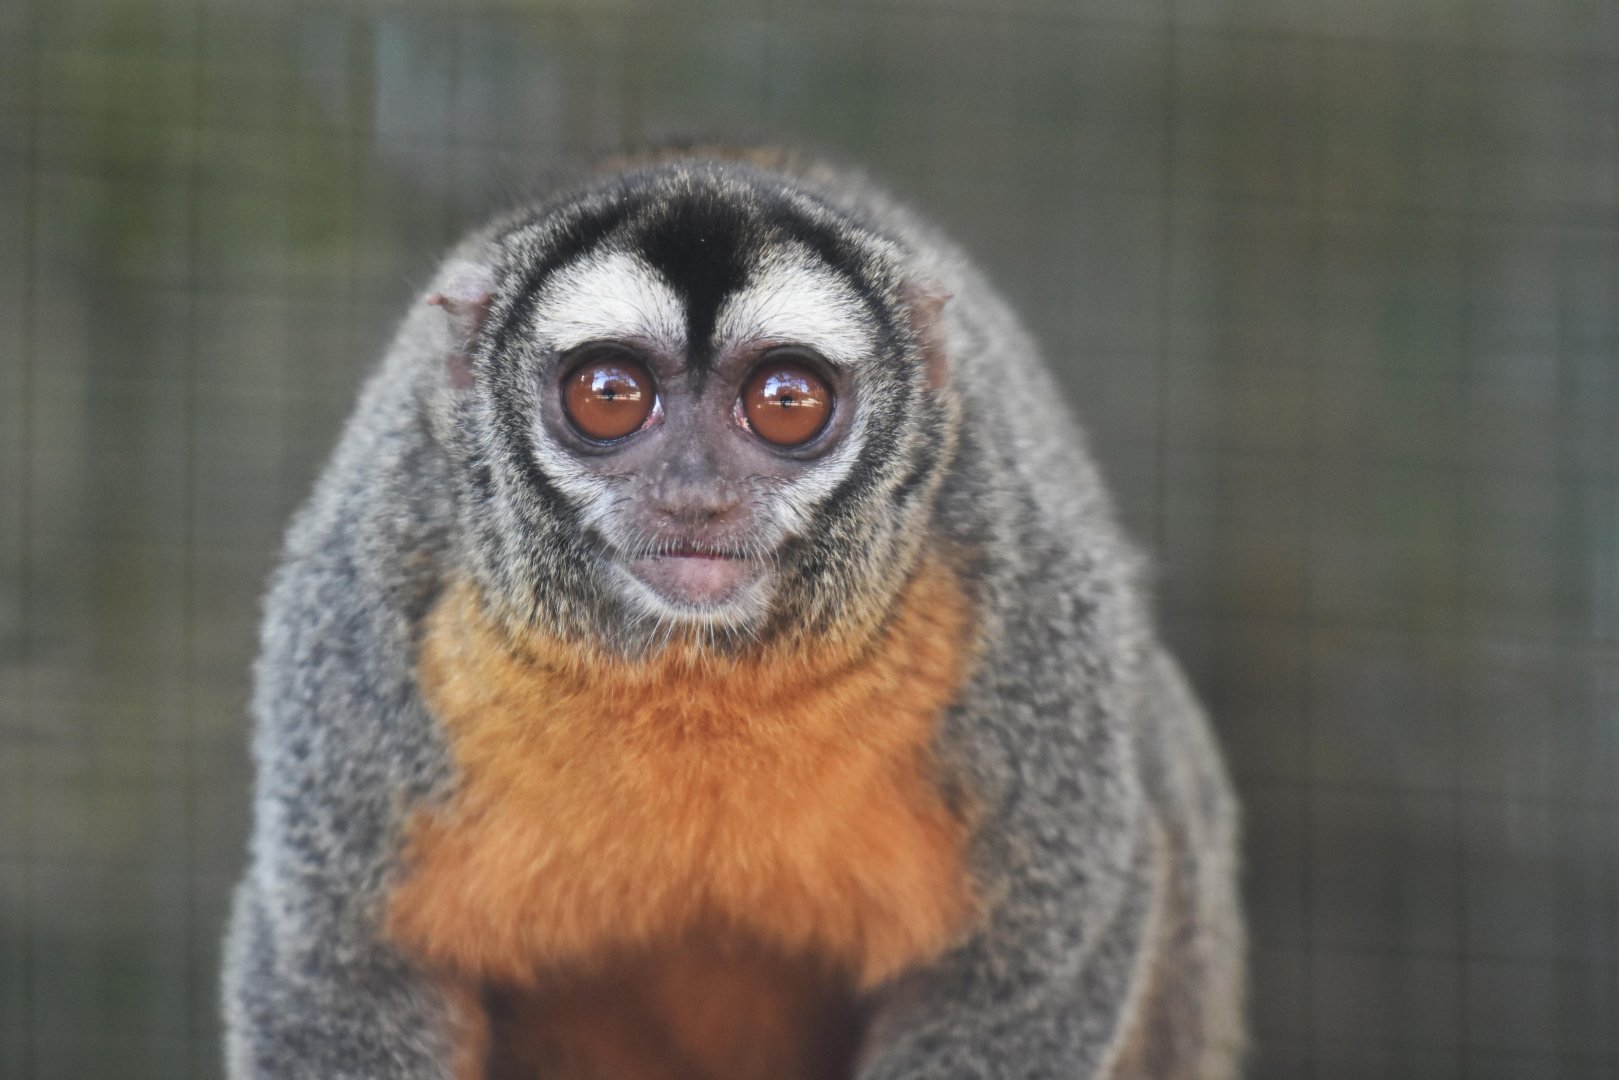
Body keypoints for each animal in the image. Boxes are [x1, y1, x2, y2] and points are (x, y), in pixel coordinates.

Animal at [222, 148, 1244, 1080]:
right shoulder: (376, 594)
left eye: (786, 402)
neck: (696, 666)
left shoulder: (1017, 590)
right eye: (609, 396)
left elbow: (1030, 967)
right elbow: (340, 969)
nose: (694, 498)